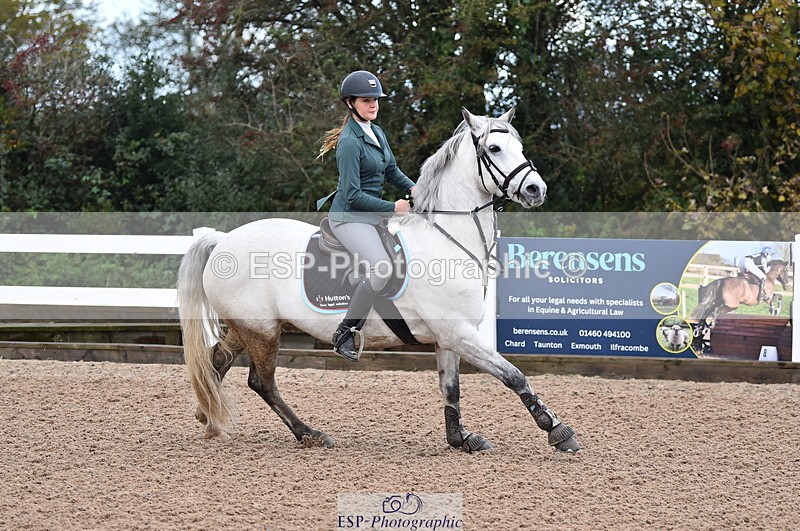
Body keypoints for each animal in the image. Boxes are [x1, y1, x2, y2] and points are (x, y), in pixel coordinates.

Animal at [177, 107, 581, 453]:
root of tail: (222, 241)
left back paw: (207, 414)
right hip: (261, 331)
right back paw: (309, 434)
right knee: (261, 382)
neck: (446, 238)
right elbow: (513, 375)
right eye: (494, 148)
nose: (536, 190)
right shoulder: (460, 333)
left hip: (246, 328)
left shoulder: (450, 337)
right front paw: (557, 430)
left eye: (520, 147)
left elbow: (451, 389)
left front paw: (461, 438)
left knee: (216, 363)